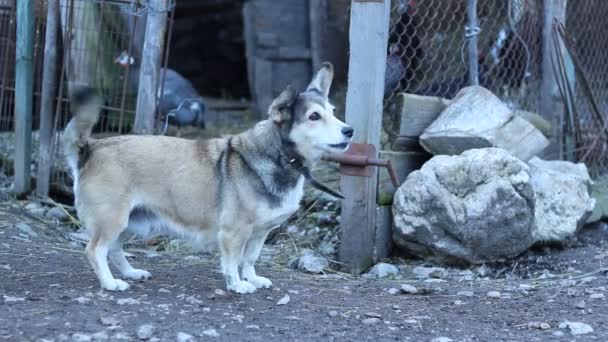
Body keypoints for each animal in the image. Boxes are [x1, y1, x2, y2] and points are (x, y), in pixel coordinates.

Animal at [63, 63, 352, 294]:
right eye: (314, 116)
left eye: (334, 111)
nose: (349, 130)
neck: (280, 157)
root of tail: (90, 148)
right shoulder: (235, 232)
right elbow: (233, 261)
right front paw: (238, 285)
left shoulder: (260, 233)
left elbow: (250, 259)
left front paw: (253, 279)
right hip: (112, 220)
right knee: (95, 250)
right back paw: (110, 283)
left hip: (129, 222)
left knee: (114, 249)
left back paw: (130, 273)